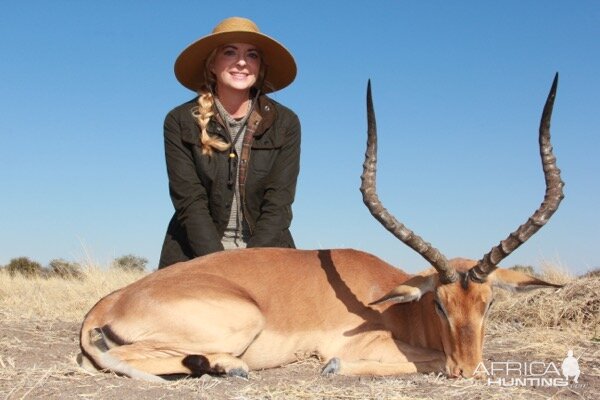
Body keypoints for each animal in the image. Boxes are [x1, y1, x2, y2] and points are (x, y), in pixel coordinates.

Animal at [78, 75, 564, 382]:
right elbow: (423, 361)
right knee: (114, 355)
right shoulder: (357, 345)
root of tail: (109, 303)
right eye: (439, 305)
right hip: (240, 321)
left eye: (488, 304)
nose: (469, 369)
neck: (391, 303)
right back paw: (227, 366)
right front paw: (334, 369)